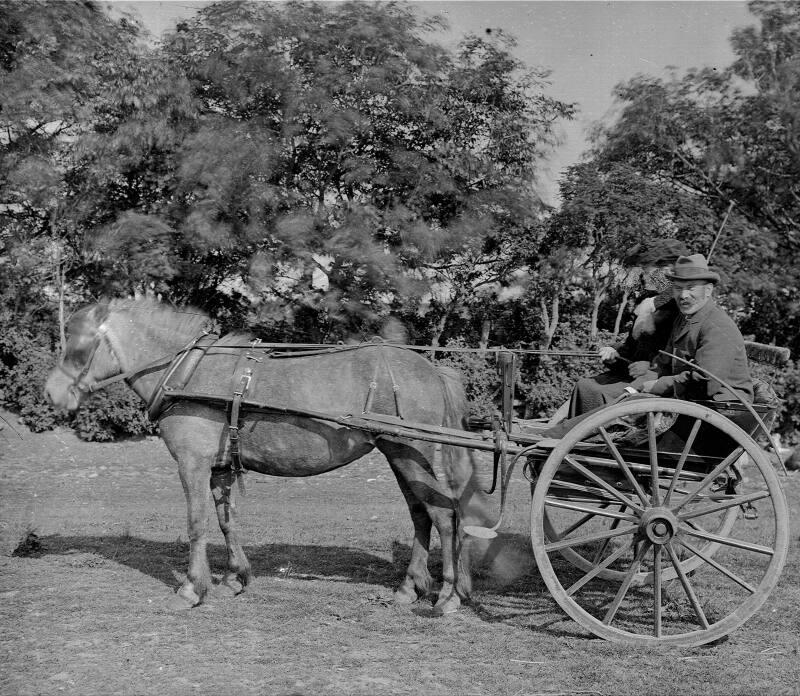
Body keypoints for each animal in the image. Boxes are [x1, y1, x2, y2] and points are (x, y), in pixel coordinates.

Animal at [47, 296, 484, 612]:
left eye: (79, 341)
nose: (52, 393)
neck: (187, 372)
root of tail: (432, 369)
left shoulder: (192, 464)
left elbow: (196, 523)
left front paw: (192, 588)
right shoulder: (220, 467)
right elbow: (226, 521)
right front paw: (234, 579)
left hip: (411, 453)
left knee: (443, 516)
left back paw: (448, 596)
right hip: (399, 454)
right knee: (420, 514)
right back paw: (410, 588)